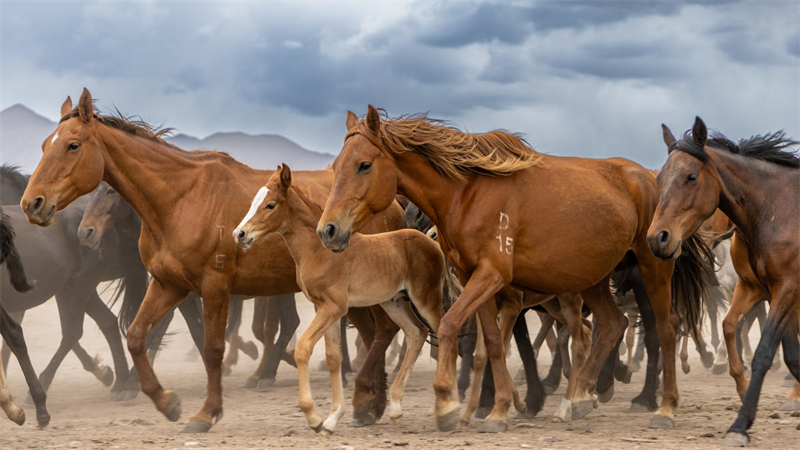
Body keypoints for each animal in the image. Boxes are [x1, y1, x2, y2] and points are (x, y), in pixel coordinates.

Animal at [20, 89, 405, 433]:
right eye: (44, 145)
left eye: (73, 145)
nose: (32, 203)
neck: (180, 199)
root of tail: (393, 203)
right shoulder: (169, 285)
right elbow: (137, 336)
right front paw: (167, 402)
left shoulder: (214, 287)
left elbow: (212, 348)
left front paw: (206, 413)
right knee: (374, 334)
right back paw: (370, 404)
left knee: (382, 332)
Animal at [233, 164, 445, 433]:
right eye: (253, 201)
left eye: (270, 205)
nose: (239, 234)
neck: (317, 250)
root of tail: (431, 241)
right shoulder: (322, 307)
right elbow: (334, 357)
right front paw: (332, 419)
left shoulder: (334, 307)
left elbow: (303, 347)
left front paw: (313, 416)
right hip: (393, 301)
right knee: (416, 333)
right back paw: (396, 408)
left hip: (425, 298)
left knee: (444, 330)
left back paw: (449, 406)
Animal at [317, 106, 712, 432]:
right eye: (335, 168)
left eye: (364, 164)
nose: (328, 230)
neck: (466, 194)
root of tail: (651, 178)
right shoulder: (475, 278)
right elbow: (493, 343)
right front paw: (498, 409)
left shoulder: (491, 275)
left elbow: (449, 325)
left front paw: (447, 403)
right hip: (594, 277)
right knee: (613, 324)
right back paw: (580, 398)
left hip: (653, 267)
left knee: (665, 327)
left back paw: (662, 407)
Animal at [648, 117, 800, 445]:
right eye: (659, 180)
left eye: (691, 176)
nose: (657, 238)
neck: (780, 210)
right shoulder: (759, 287)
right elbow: (734, 326)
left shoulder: (788, 289)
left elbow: (765, 351)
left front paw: (740, 425)